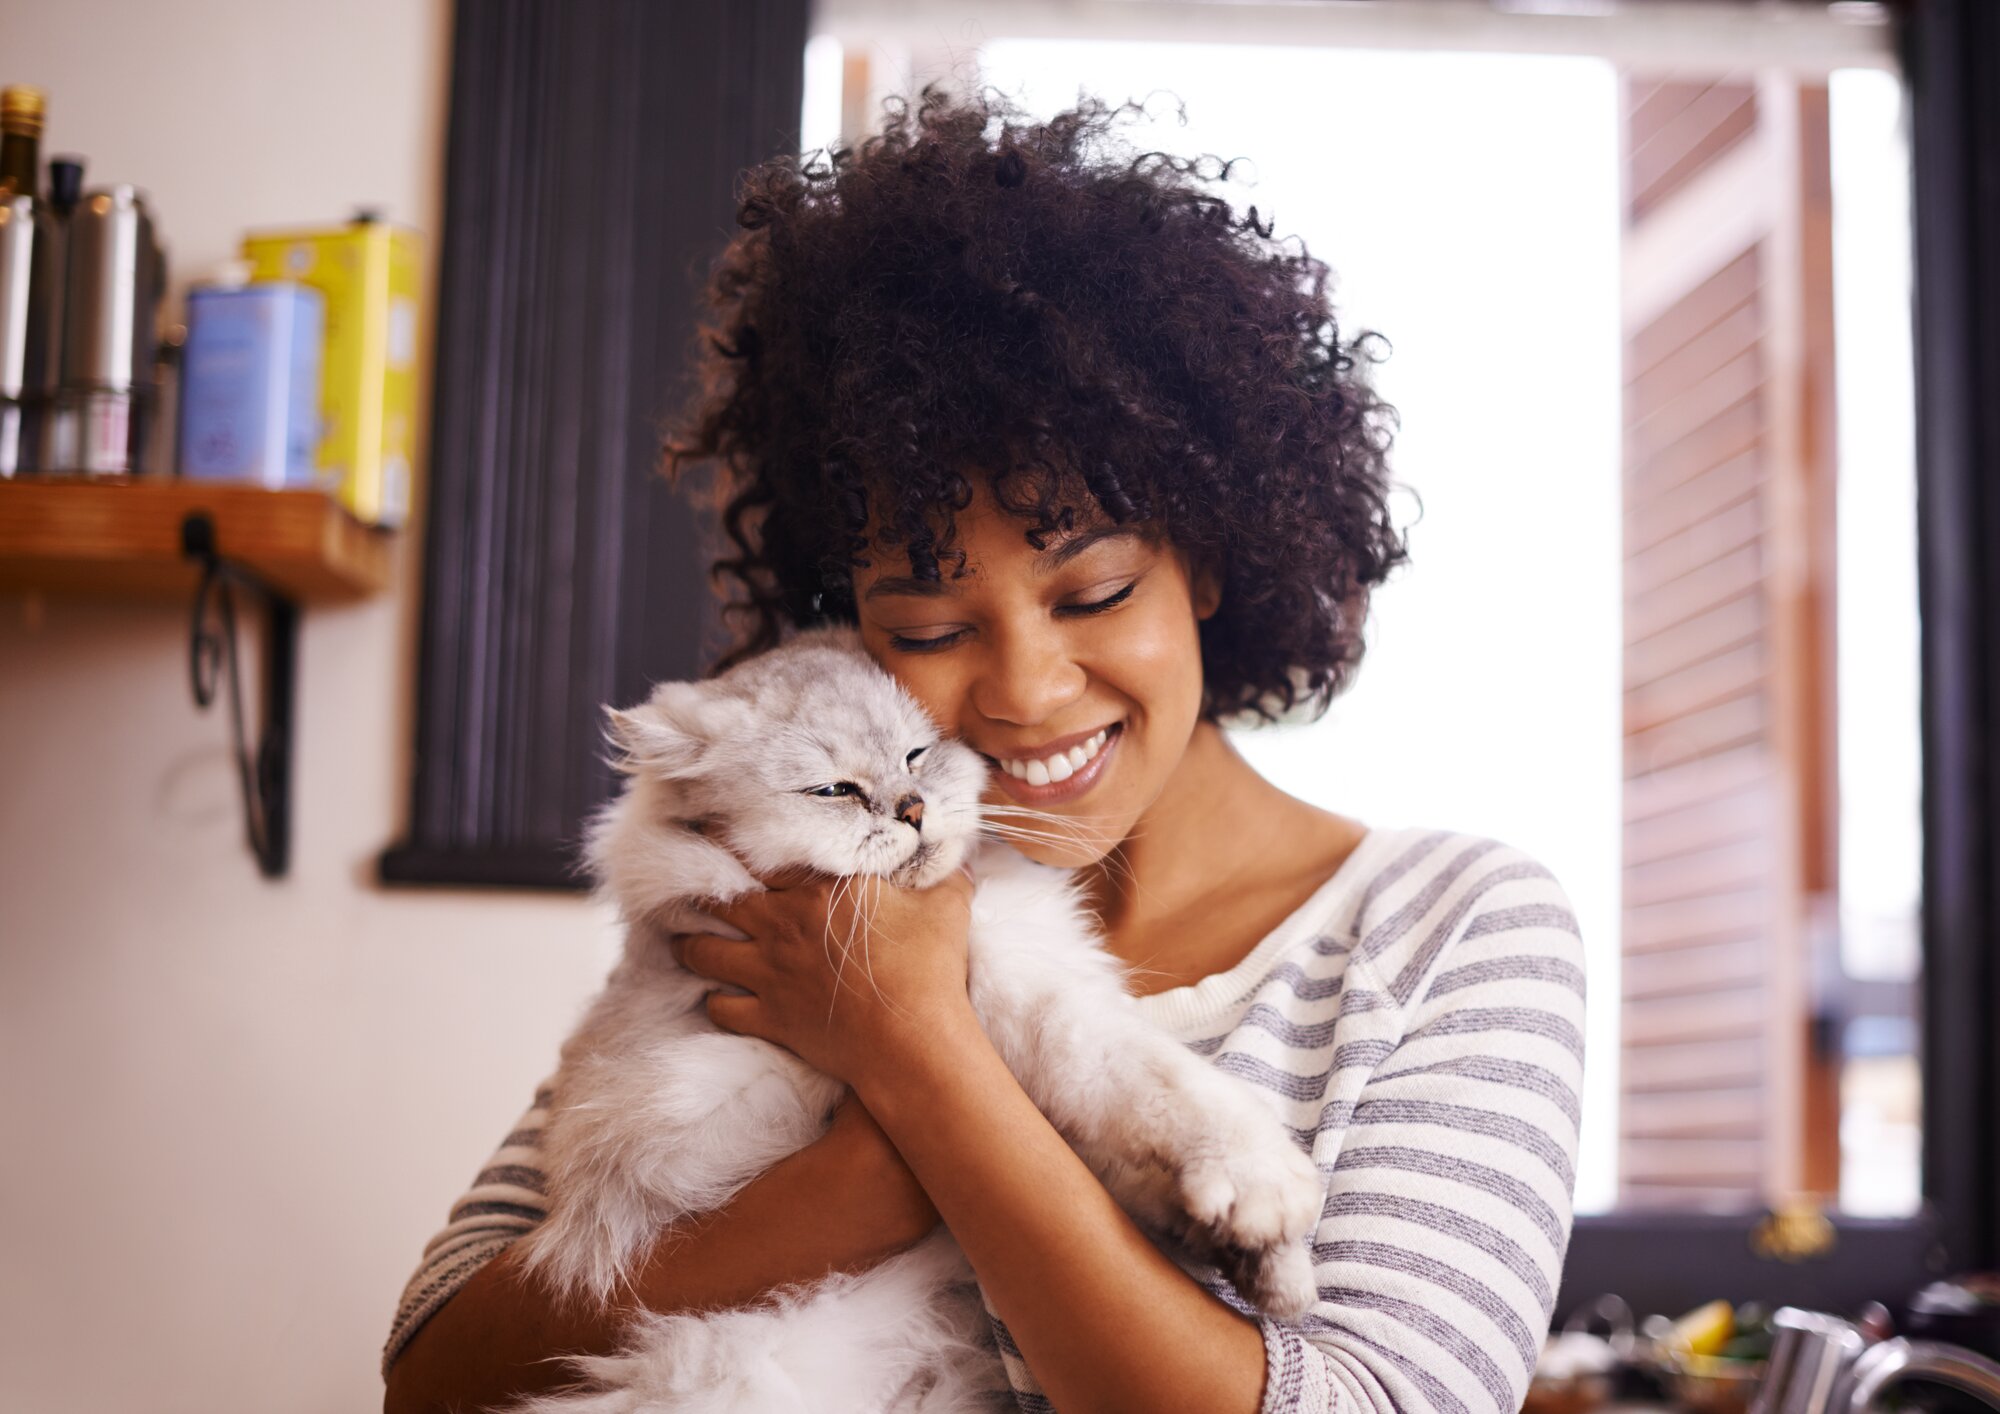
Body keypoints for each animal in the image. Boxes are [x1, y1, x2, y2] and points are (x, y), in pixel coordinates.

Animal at [512, 632, 1328, 1414]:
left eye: (916, 754)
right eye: (834, 791)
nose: (911, 810)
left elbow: (1143, 1142)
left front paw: (1264, 1263)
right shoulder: (1018, 1007)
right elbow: (1156, 1090)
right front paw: (1261, 1201)